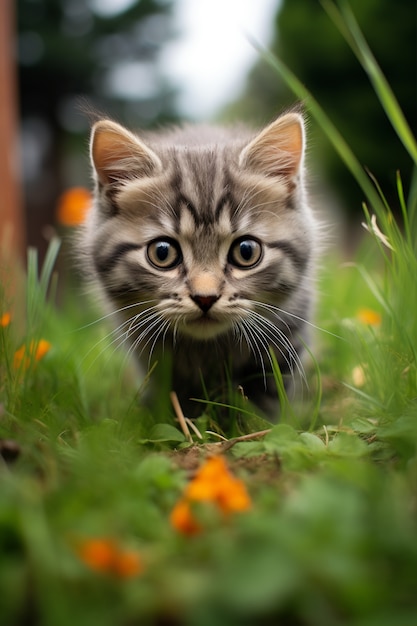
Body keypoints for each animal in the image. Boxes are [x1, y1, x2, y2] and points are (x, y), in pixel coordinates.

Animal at [79, 110, 316, 416]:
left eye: (246, 252)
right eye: (162, 253)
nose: (205, 297)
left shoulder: (287, 334)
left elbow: (268, 392)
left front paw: (258, 420)